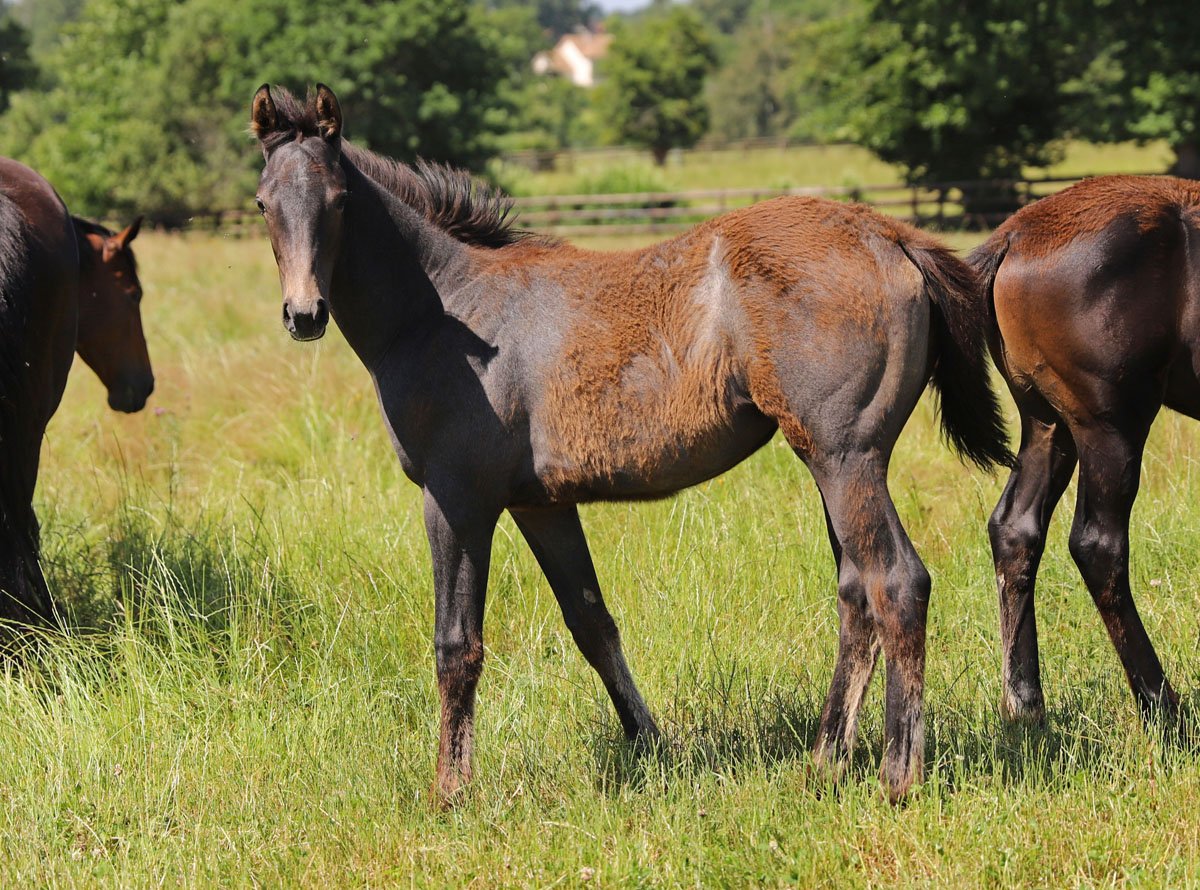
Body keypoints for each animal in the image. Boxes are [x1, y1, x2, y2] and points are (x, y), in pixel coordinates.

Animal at [251, 84, 1012, 803]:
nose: (303, 314)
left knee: (895, 583)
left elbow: (455, 644)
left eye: (340, 201)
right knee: (856, 594)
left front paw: (451, 790)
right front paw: (651, 745)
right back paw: (824, 764)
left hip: (847, 458)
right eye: (263, 204)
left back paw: (897, 776)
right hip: (834, 463)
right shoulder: (540, 504)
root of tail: (892, 236)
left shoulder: (456, 500)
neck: (448, 313)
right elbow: (592, 622)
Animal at [973, 174, 1200, 727]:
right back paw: (1162, 706)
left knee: (1015, 528)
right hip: (1110, 428)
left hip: (1049, 424)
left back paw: (1025, 703)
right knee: (1098, 545)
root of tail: (1014, 237)